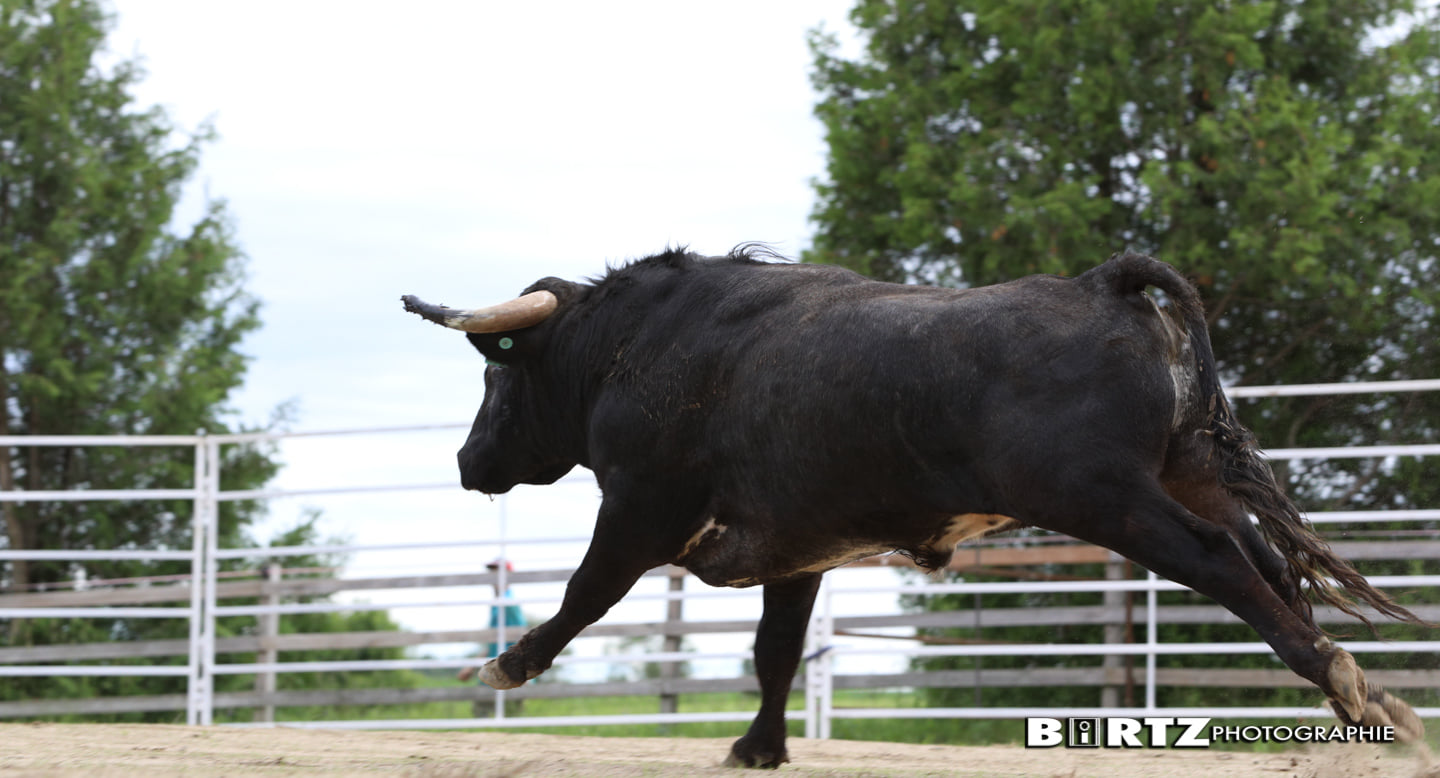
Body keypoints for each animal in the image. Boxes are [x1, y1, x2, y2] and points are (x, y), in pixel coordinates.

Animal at [403, 246, 1427, 768]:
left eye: (497, 377)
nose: (465, 461)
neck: (638, 343)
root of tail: (1102, 287)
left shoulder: (640, 508)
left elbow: (586, 594)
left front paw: (508, 665)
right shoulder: (797, 549)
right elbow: (776, 652)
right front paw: (760, 746)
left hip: (1109, 498)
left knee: (1223, 561)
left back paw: (1344, 680)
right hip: (1188, 471)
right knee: (1268, 562)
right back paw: (1369, 704)